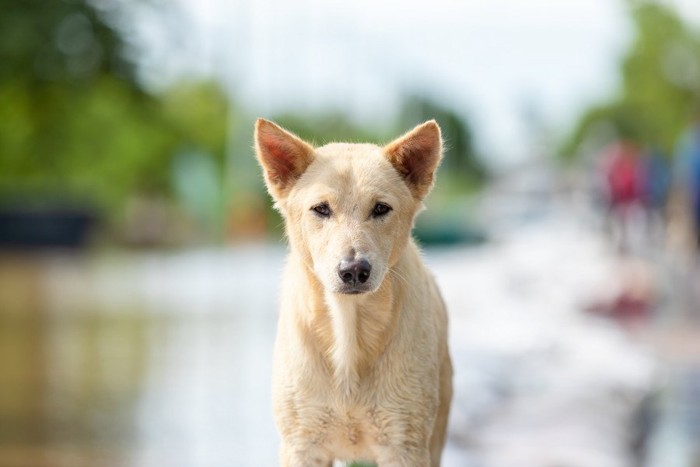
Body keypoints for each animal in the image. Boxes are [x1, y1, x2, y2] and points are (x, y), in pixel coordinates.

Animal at [254, 119, 452, 467]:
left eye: (381, 208)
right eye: (321, 209)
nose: (354, 270)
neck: (348, 330)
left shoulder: (405, 445)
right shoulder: (301, 446)